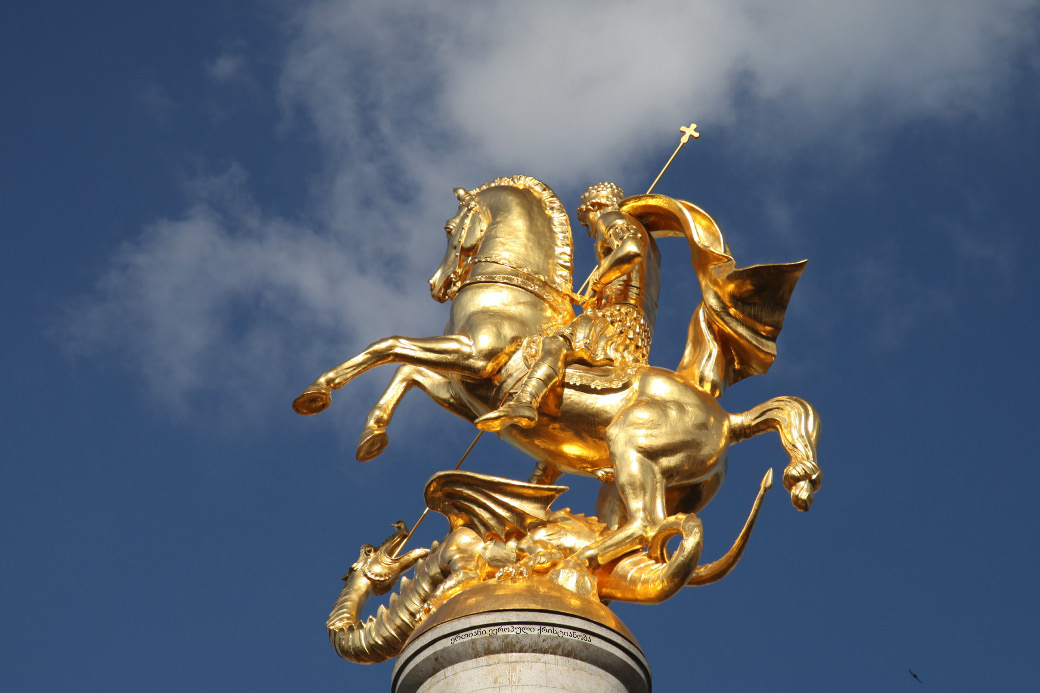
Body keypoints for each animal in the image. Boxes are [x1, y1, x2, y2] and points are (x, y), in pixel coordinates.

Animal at [293, 173, 819, 566]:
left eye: (448, 227)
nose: (436, 285)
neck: (513, 295)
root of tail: (729, 420)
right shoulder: (466, 385)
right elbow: (406, 371)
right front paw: (370, 437)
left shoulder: (474, 355)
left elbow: (388, 346)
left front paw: (315, 394)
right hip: (657, 483)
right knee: (642, 527)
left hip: (630, 444)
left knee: (645, 522)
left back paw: (575, 556)